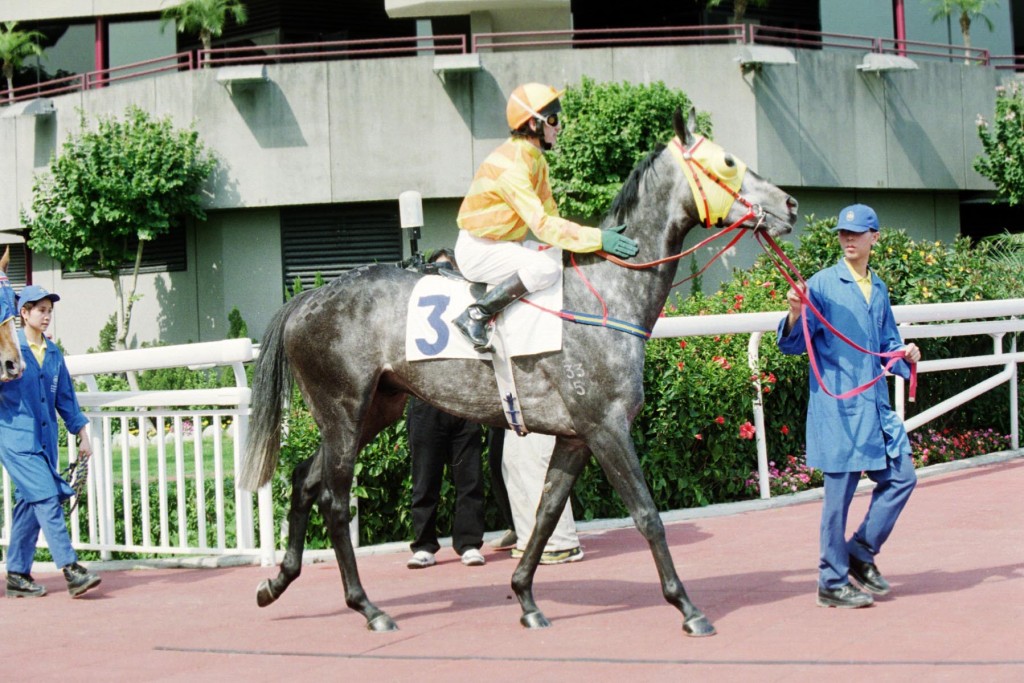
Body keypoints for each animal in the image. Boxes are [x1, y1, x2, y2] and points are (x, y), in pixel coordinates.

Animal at [241, 107, 798, 634]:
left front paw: (526, 598)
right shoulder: (607, 427)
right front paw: (687, 607)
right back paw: (368, 607)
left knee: (304, 479)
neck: (606, 292)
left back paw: (275, 582)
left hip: (378, 406)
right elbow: (647, 515)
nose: (791, 205)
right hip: (343, 408)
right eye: (729, 161)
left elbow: (545, 514)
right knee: (334, 500)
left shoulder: (575, 436)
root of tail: (307, 299)